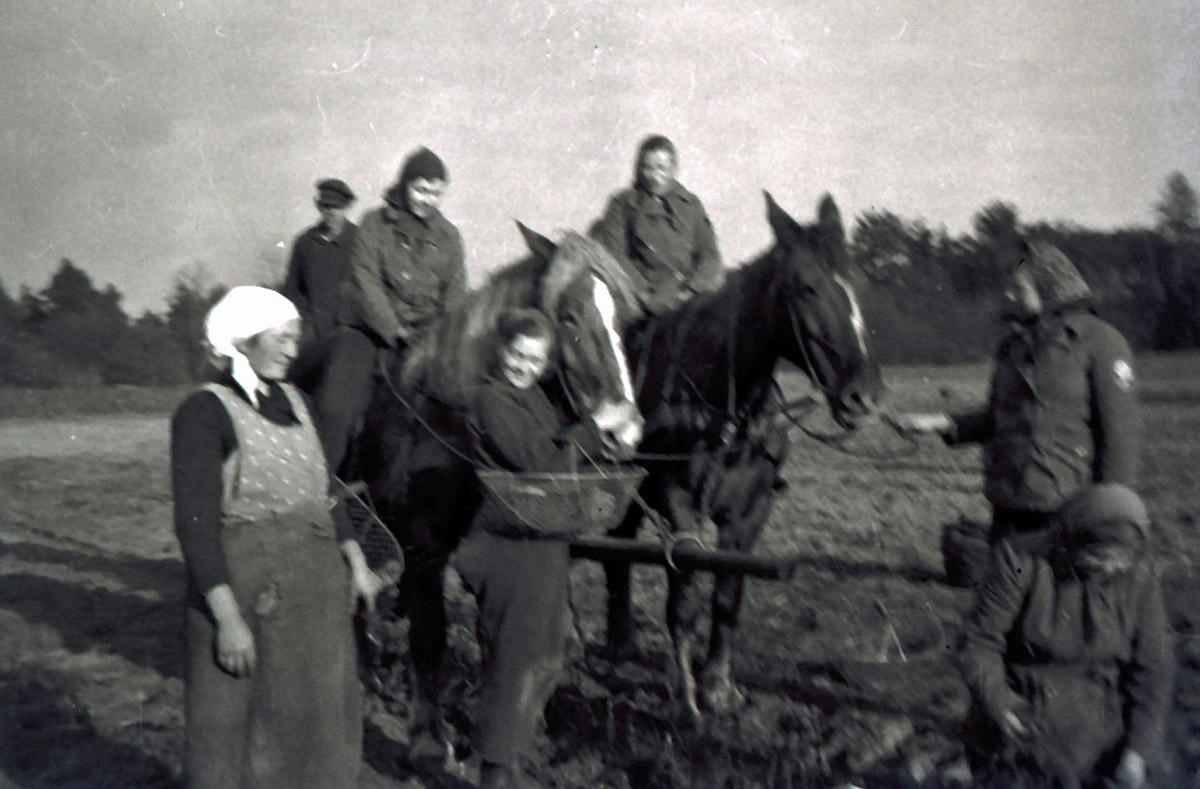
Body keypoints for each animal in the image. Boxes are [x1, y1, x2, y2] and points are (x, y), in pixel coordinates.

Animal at [350, 225, 643, 743]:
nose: (622, 433)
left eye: (625, 321)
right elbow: (431, 633)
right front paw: (428, 739)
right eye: (569, 317)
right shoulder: (426, 544)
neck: (446, 416)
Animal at [600, 191, 883, 719]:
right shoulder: (678, 501)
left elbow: (728, 595)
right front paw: (686, 696)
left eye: (858, 283)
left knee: (615, 544)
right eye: (806, 287)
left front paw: (717, 686)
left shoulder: (751, 510)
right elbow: (684, 592)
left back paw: (621, 641)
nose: (864, 398)